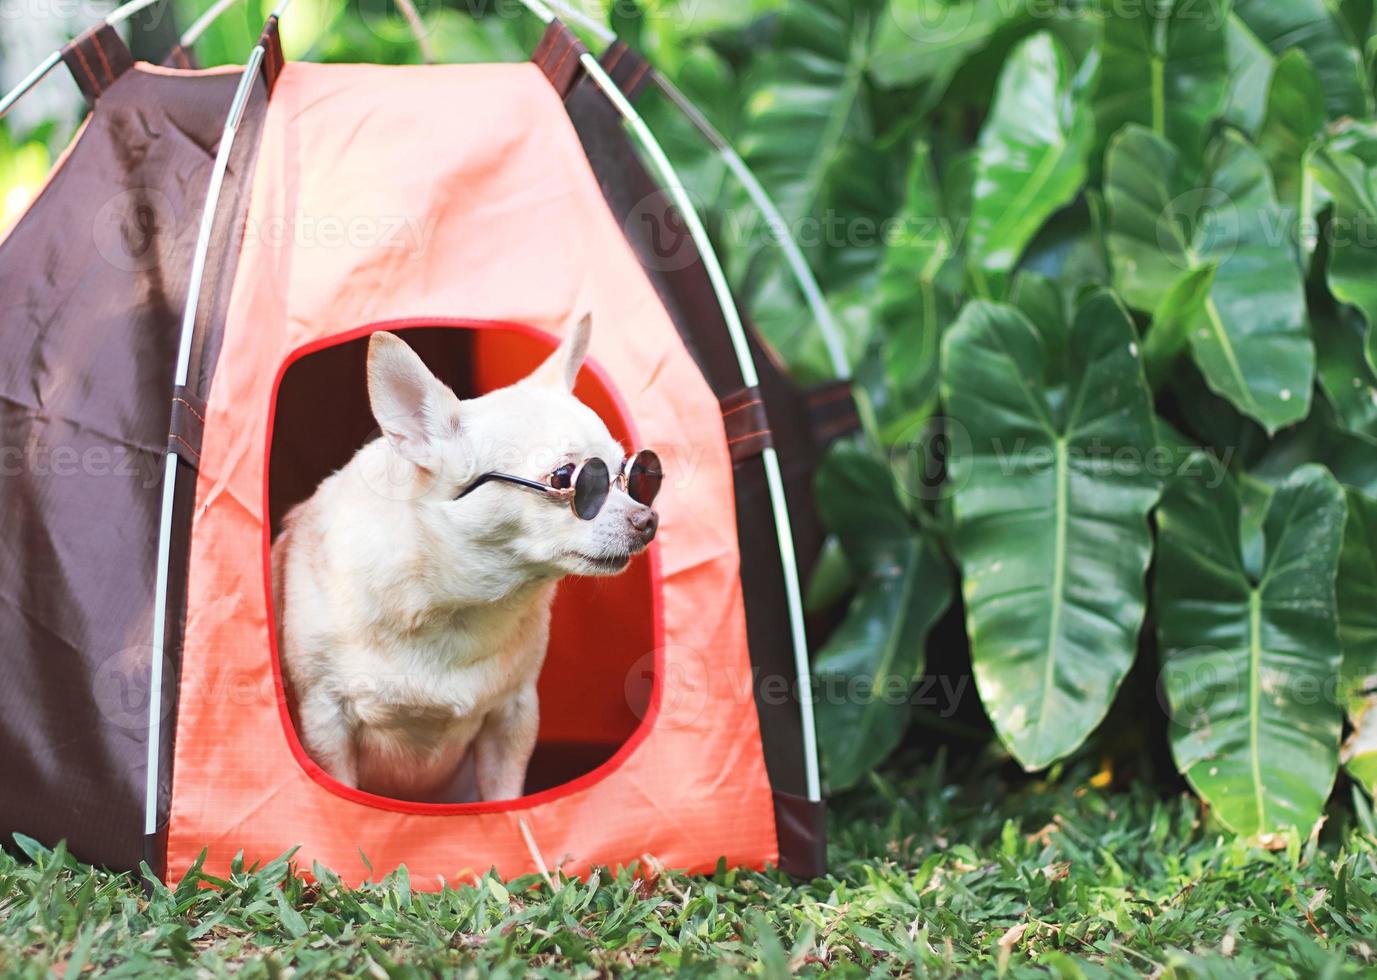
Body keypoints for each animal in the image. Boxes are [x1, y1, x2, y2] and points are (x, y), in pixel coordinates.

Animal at [271, 317, 658, 798]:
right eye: (566, 477)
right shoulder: (325, 720)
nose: (647, 519)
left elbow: (504, 797)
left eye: (632, 474)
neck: (456, 607)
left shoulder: (512, 718)